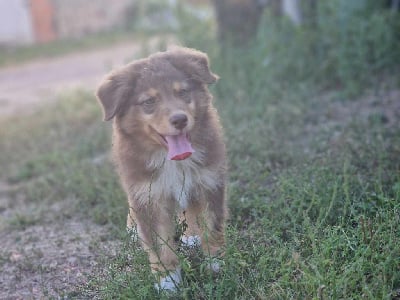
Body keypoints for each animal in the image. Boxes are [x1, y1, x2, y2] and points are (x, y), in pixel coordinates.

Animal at [96, 47, 228, 290]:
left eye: (183, 92)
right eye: (149, 101)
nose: (180, 119)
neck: (171, 160)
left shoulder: (209, 181)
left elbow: (211, 226)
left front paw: (216, 265)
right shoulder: (148, 196)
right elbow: (160, 245)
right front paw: (168, 282)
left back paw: (191, 236)